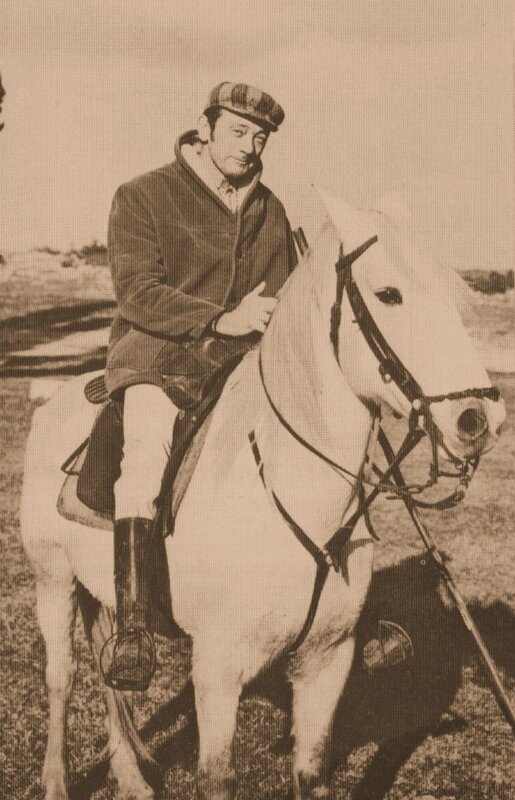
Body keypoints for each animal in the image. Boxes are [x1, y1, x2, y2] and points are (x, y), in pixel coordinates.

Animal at [20, 191, 505, 800]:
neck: (295, 499)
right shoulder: (218, 672)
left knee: (113, 684)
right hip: (53, 581)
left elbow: (311, 770)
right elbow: (216, 776)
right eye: (389, 294)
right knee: (62, 680)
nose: (479, 420)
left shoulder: (326, 665)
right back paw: (57, 781)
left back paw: (131, 779)